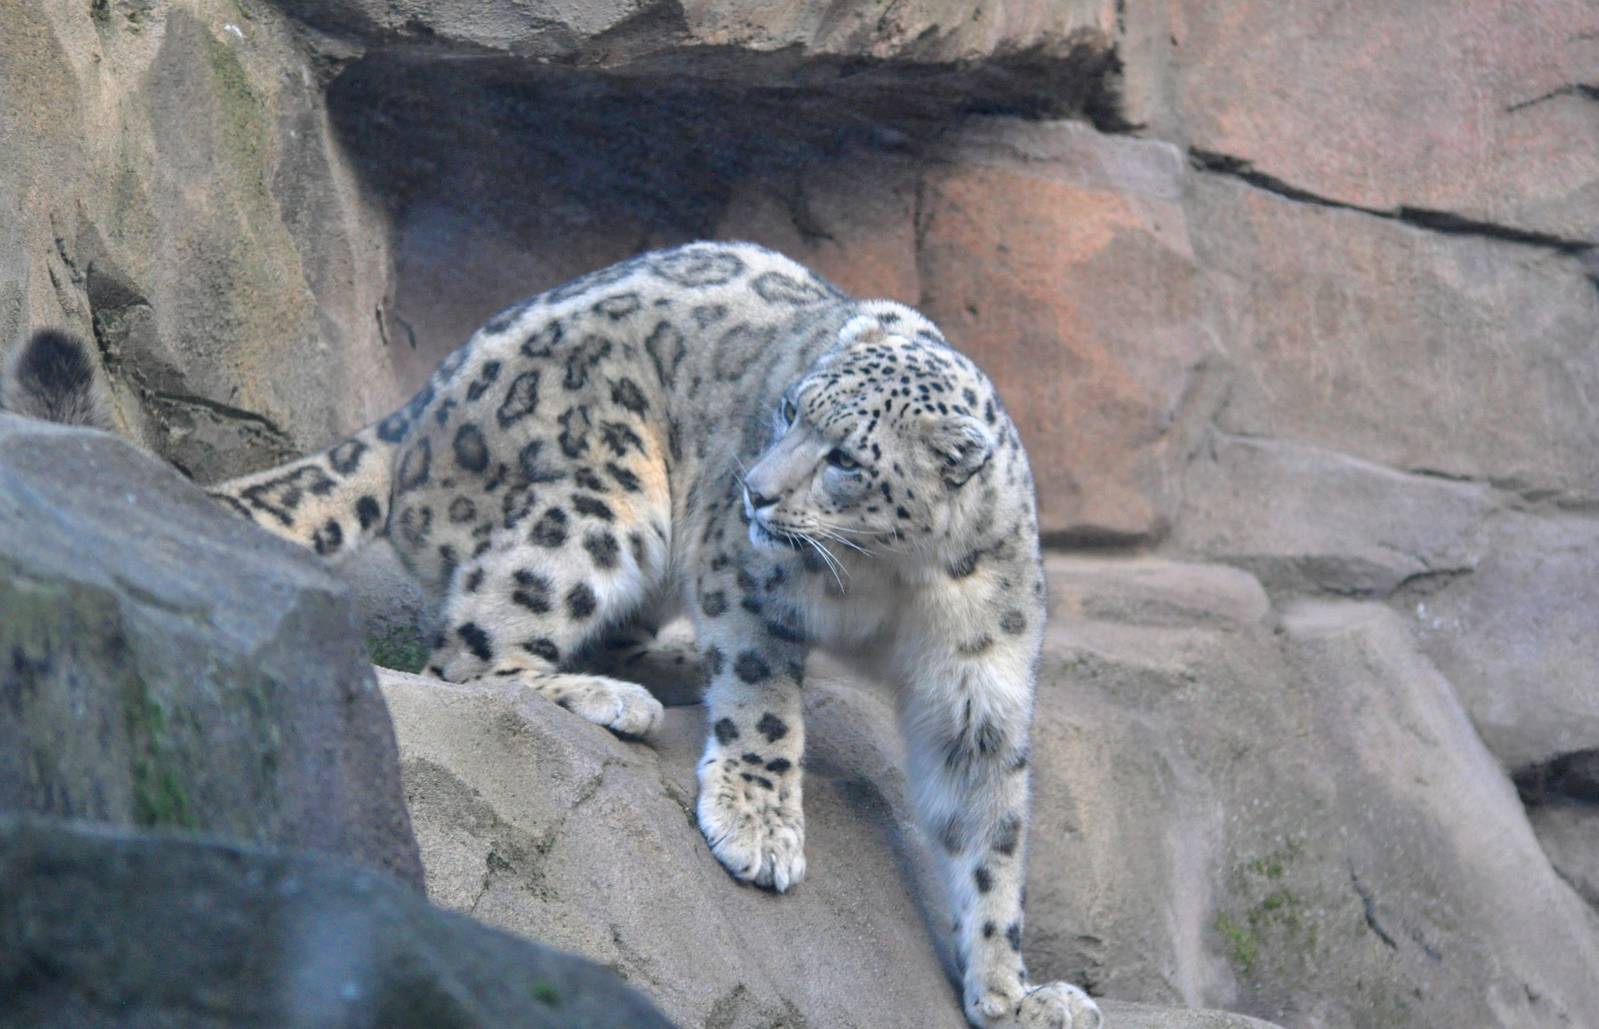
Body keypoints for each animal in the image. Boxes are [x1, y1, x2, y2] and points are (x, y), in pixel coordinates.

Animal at [4, 241, 1101, 1029]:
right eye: (788, 411)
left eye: (844, 458)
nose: (754, 490)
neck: (889, 584)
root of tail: (419, 402)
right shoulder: (742, 573)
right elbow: (762, 697)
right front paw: (758, 824)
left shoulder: (980, 675)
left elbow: (989, 832)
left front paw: (1011, 992)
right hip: (599, 497)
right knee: (468, 646)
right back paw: (608, 696)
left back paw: (657, 662)